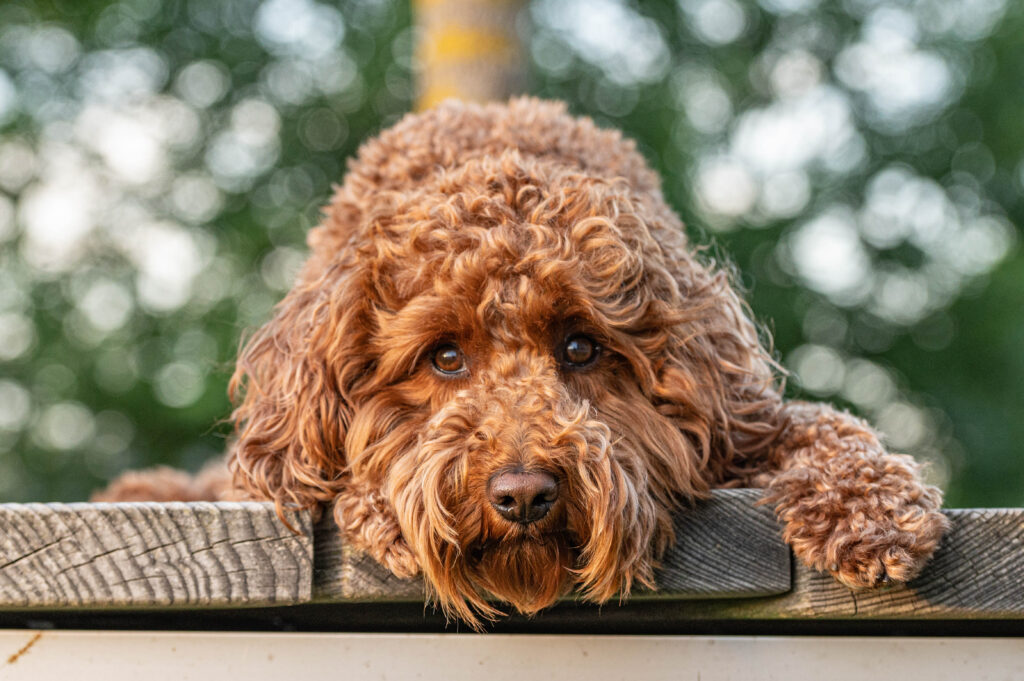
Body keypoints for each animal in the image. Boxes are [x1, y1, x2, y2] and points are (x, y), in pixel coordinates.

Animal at [97, 95, 950, 626]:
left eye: (580, 347)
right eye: (445, 357)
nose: (524, 495)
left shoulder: (740, 415)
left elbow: (824, 426)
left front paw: (875, 509)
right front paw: (385, 509)